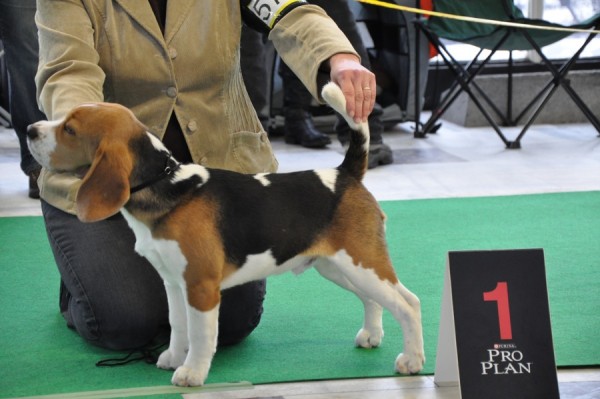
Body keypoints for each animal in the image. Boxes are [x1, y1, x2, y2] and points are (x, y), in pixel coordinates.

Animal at [27, 83, 422, 386]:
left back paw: (412, 360)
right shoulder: (174, 282)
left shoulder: (201, 286)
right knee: (374, 300)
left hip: (362, 262)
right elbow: (178, 325)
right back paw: (372, 335)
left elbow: (201, 335)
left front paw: (192, 373)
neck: (165, 187)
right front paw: (173, 356)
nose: (31, 129)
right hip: (337, 266)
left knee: (408, 303)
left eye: (70, 130)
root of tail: (346, 174)